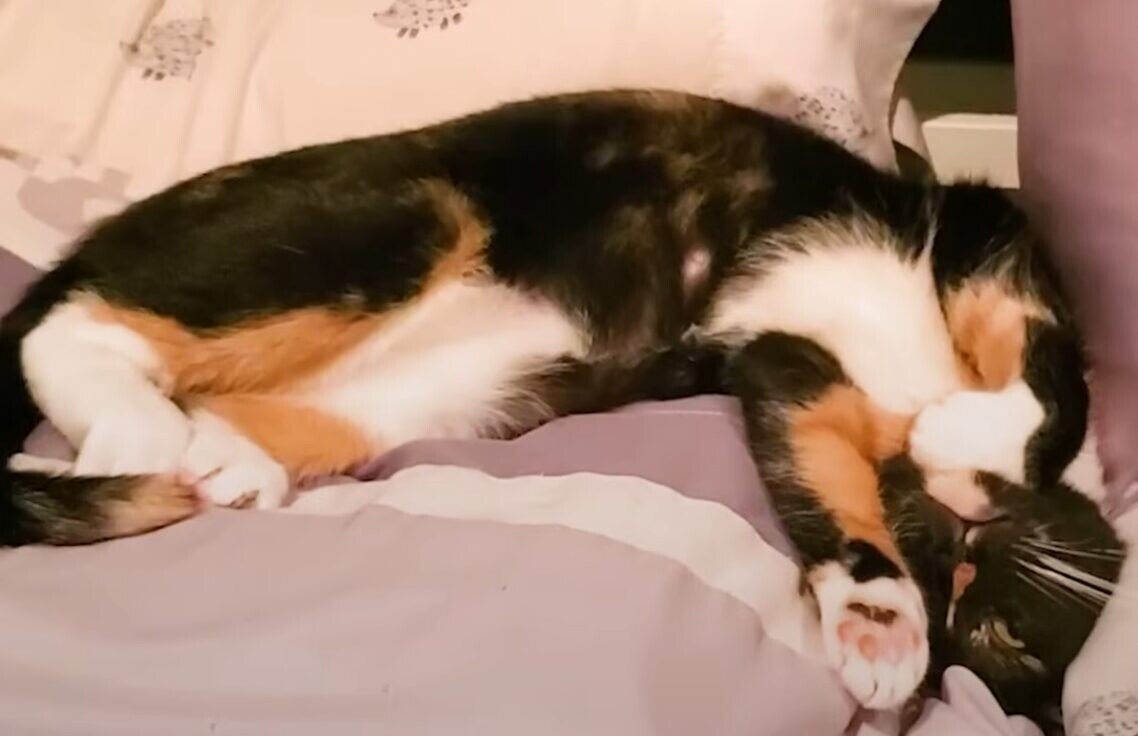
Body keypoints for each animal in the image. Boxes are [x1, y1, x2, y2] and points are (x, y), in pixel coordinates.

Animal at [0, 90, 1124, 721]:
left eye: (996, 634)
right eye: (982, 597)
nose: (956, 538)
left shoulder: (780, 368)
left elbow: (822, 481)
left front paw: (880, 627)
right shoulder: (988, 230)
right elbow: (1050, 383)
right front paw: (965, 443)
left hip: (465, 385)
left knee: (260, 413)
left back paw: (219, 462)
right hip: (399, 213)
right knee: (75, 330)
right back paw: (134, 426)